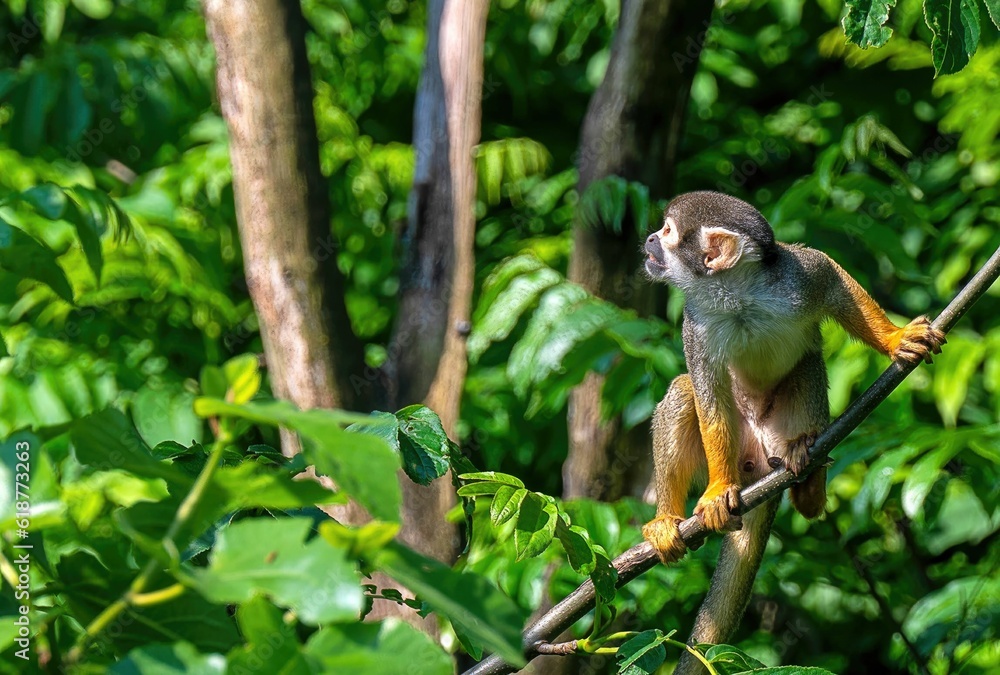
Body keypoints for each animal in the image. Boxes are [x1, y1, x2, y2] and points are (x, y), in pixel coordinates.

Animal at [639, 191, 945, 672]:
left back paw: (809, 480)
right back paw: (668, 519)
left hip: (785, 424)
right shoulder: (695, 323)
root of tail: (761, 466)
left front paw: (895, 340)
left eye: (668, 231)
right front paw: (717, 490)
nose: (651, 238)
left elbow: (832, 277)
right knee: (684, 390)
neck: (735, 296)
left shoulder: (794, 278)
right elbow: (707, 399)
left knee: (807, 365)